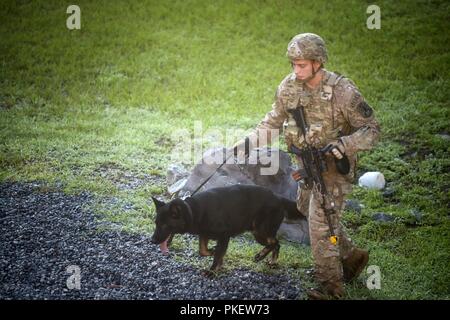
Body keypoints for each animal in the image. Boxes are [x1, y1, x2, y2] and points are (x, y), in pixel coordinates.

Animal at [151, 184, 302, 274]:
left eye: (165, 225)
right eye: (156, 223)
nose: (152, 241)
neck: (193, 211)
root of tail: (278, 198)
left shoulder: (224, 236)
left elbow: (217, 254)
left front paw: (212, 271)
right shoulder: (204, 235)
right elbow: (203, 251)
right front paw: (213, 253)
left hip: (259, 231)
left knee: (275, 243)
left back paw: (261, 255)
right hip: (260, 232)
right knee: (276, 244)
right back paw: (272, 261)